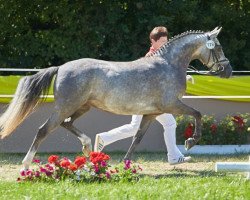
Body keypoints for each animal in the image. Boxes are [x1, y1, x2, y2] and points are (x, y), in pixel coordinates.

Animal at [0, 27, 231, 169]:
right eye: (219, 47)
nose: (227, 71)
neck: (168, 64)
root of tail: (61, 67)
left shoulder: (151, 113)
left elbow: (137, 137)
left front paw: (126, 163)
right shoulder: (172, 104)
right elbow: (198, 114)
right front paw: (191, 142)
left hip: (82, 107)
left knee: (67, 124)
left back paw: (88, 149)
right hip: (66, 106)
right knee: (43, 130)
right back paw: (26, 165)